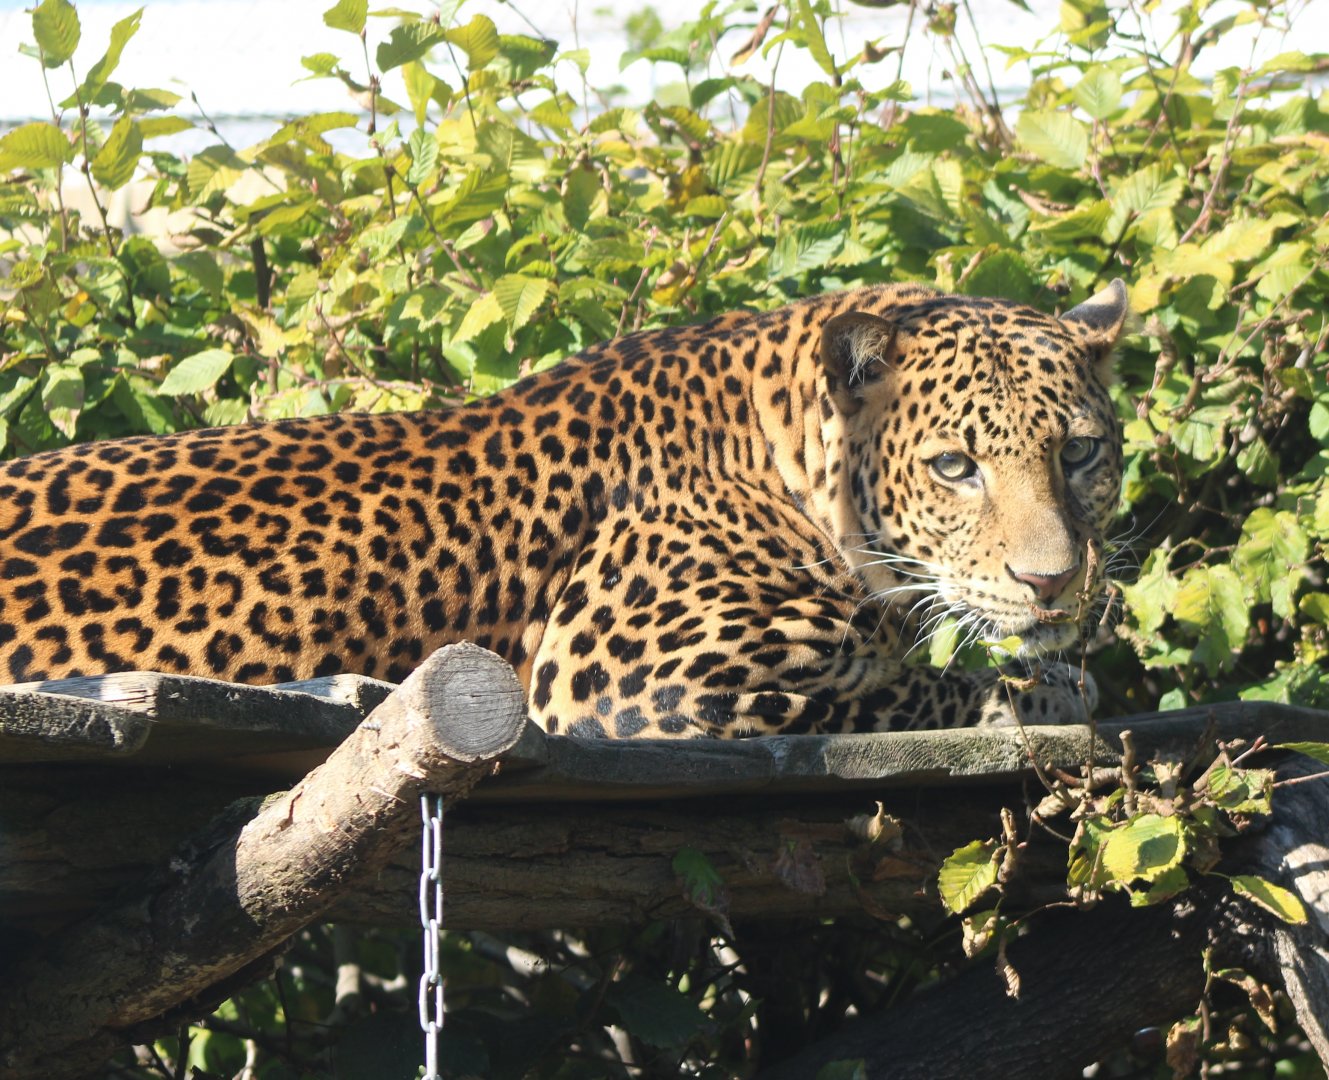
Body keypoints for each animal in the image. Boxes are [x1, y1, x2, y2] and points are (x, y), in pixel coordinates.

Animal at [0, 279, 1129, 737]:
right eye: (954, 467)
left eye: (1078, 452)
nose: (1052, 582)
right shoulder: (630, 681)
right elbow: (899, 693)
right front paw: (1046, 690)